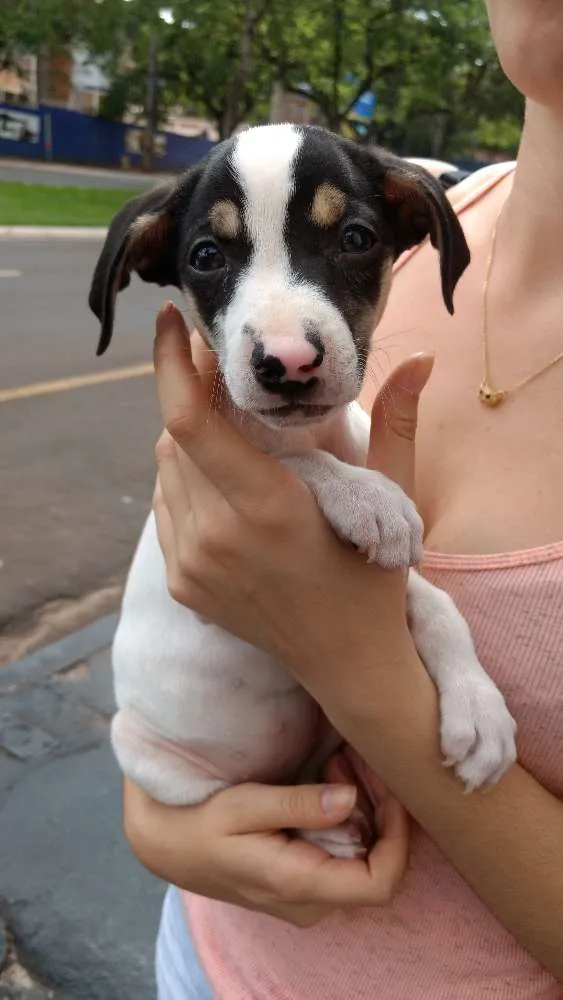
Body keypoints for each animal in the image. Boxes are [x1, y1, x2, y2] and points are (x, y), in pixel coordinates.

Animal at [88, 125, 516, 856]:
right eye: (206, 256)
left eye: (354, 238)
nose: (287, 364)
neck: (317, 430)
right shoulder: (204, 584)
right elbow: (292, 462)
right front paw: (367, 497)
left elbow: (433, 601)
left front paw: (477, 704)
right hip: (154, 758)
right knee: (253, 800)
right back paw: (329, 828)